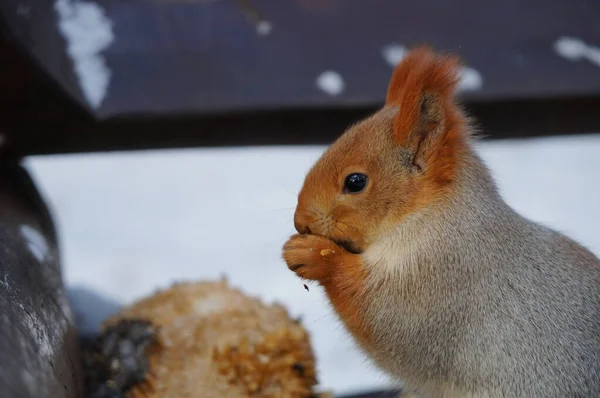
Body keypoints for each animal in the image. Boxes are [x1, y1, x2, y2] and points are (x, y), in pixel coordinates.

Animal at [284, 45, 600, 396]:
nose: (300, 222)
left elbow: (386, 318)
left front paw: (312, 255)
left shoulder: (444, 276)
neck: (428, 214)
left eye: (355, 182)